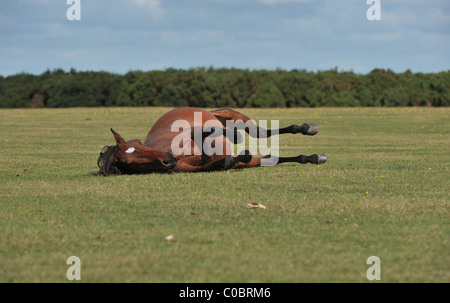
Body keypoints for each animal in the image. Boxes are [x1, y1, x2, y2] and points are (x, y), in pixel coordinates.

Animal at [96, 108, 326, 176]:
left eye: (139, 143)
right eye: (131, 163)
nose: (168, 159)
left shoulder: (188, 132)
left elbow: (209, 131)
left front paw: (234, 137)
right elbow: (228, 161)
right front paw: (240, 153)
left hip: (233, 116)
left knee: (260, 132)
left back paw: (307, 128)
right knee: (272, 158)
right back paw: (313, 157)